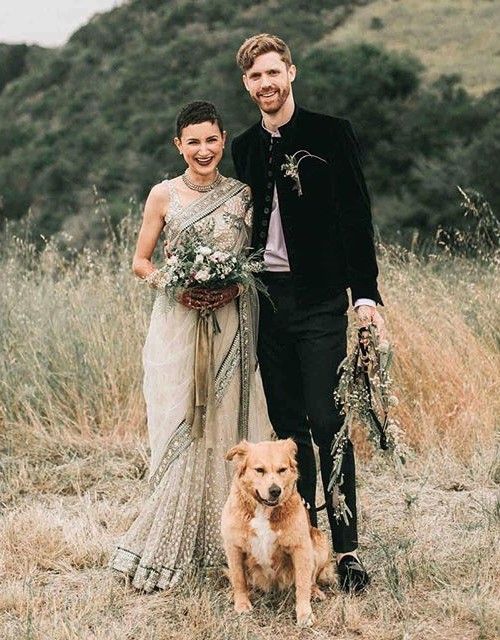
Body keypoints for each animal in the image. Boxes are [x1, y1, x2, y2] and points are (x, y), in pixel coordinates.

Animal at [221, 438, 334, 628]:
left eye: (282, 470)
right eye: (259, 470)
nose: (275, 490)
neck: (263, 510)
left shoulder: (301, 548)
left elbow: (302, 583)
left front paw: (305, 614)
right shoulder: (233, 547)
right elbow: (239, 579)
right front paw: (242, 604)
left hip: (320, 541)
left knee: (311, 579)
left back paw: (315, 592)